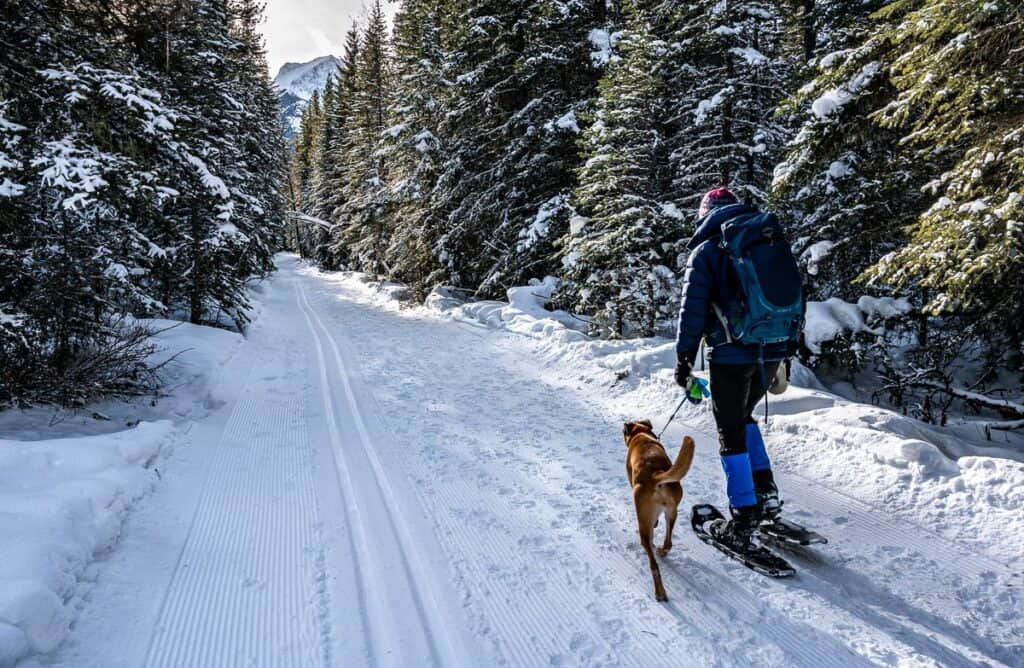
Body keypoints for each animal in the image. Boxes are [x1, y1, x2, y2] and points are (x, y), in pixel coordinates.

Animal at [622, 420, 696, 602]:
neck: (641, 434)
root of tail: (656, 476)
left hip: (644, 520)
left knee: (652, 560)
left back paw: (660, 592)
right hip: (672, 512)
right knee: (668, 543)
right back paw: (662, 551)